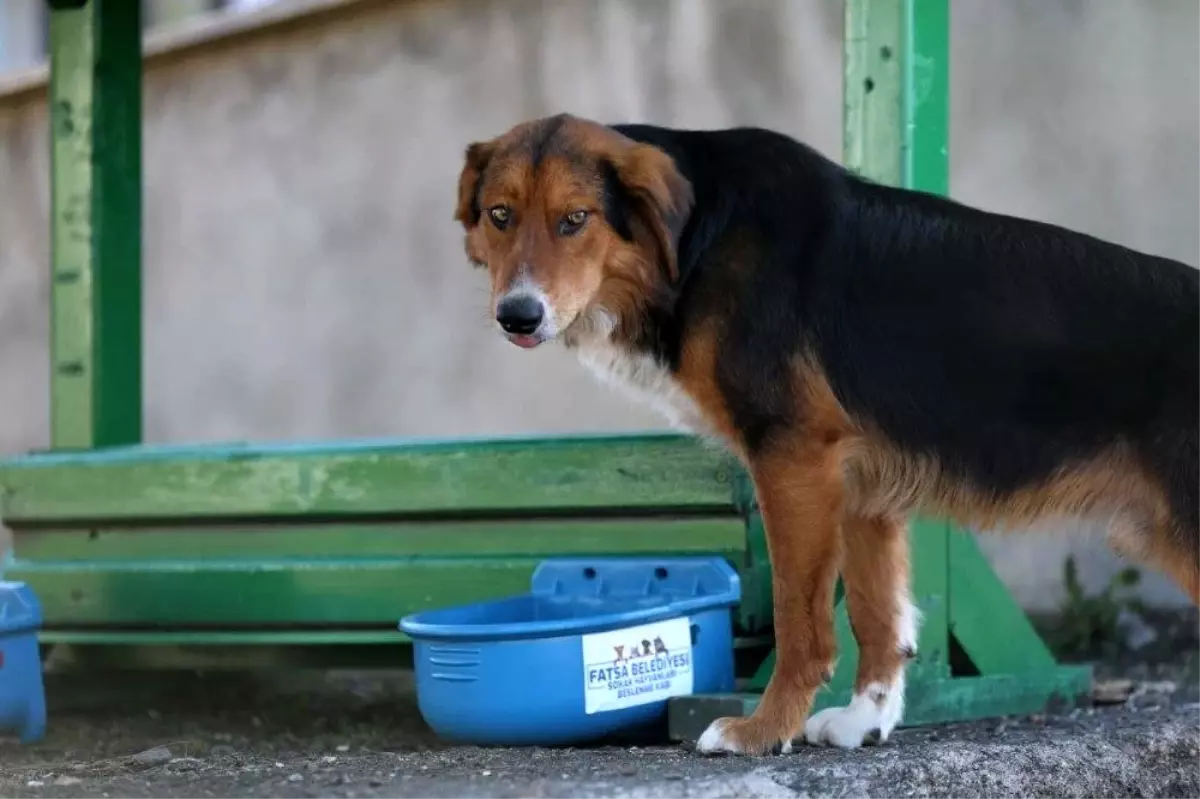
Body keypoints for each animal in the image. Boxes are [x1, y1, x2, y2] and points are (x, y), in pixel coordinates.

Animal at [451, 112, 1200, 753]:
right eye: (500, 215)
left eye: (574, 220)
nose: (518, 314)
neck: (697, 243)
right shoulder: (864, 484)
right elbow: (877, 617)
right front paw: (867, 719)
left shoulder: (791, 459)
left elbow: (801, 620)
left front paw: (762, 731)